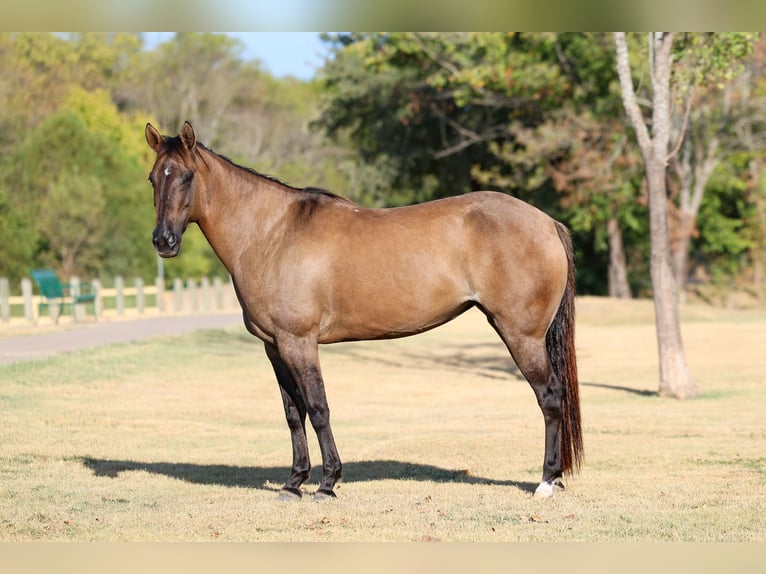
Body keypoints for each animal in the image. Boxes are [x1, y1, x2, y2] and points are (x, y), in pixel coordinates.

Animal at [145, 121, 582, 501]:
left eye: (186, 176)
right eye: (153, 178)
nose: (163, 241)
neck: (271, 233)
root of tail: (547, 223)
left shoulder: (299, 342)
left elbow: (318, 408)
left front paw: (327, 484)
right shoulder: (274, 346)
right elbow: (293, 413)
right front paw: (293, 483)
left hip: (522, 335)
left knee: (550, 396)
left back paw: (546, 482)